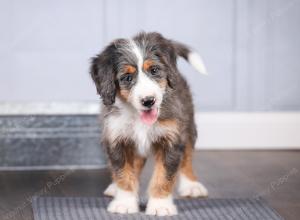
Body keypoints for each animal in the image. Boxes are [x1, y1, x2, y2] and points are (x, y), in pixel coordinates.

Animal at [89, 31, 209, 216]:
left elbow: (164, 176)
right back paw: (115, 188)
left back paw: (191, 185)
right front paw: (124, 202)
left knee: (187, 156)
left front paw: (160, 205)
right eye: (127, 77)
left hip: (188, 124)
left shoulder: (172, 139)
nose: (148, 101)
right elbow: (123, 173)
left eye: (154, 70)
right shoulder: (117, 139)